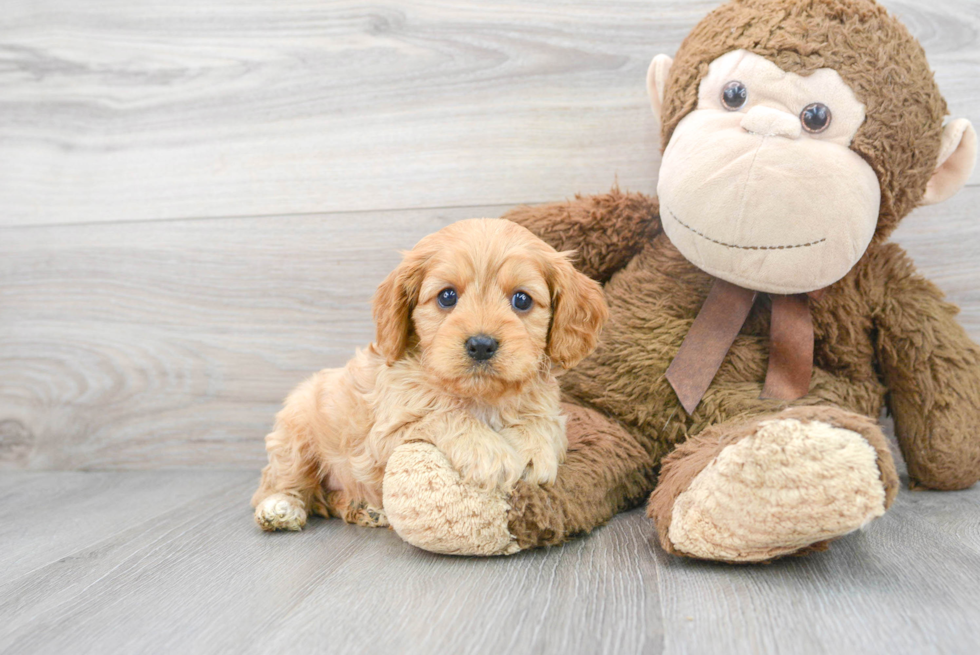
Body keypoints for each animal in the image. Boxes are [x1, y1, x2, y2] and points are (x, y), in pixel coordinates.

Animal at [251, 219, 604, 532]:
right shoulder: (387, 432)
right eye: (447, 296)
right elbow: (444, 413)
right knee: (280, 484)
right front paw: (489, 453)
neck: (480, 397)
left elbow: (543, 425)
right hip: (296, 435)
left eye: (522, 299)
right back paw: (280, 507)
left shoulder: (551, 411)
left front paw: (533, 452)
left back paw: (365, 509)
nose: (481, 345)